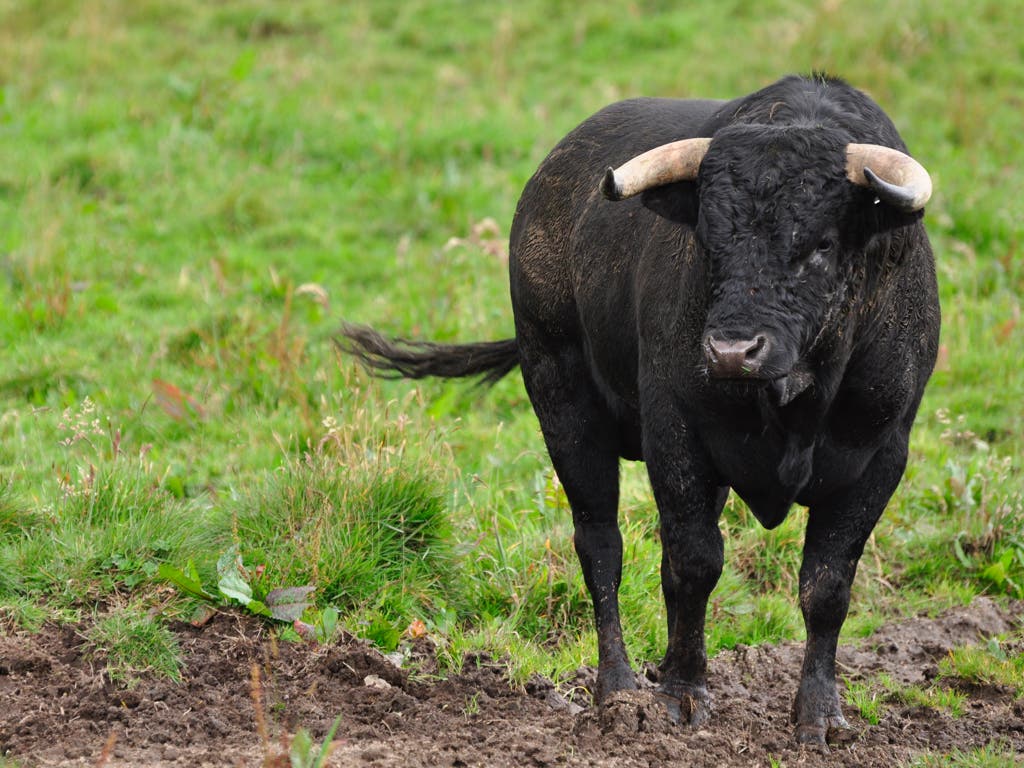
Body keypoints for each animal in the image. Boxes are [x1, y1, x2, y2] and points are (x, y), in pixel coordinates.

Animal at [339, 76, 937, 745]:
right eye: (708, 239)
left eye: (822, 245)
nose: (731, 351)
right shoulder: (674, 432)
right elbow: (695, 562)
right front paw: (682, 691)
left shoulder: (880, 454)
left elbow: (826, 587)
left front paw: (820, 715)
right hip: (563, 403)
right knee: (602, 545)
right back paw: (620, 688)